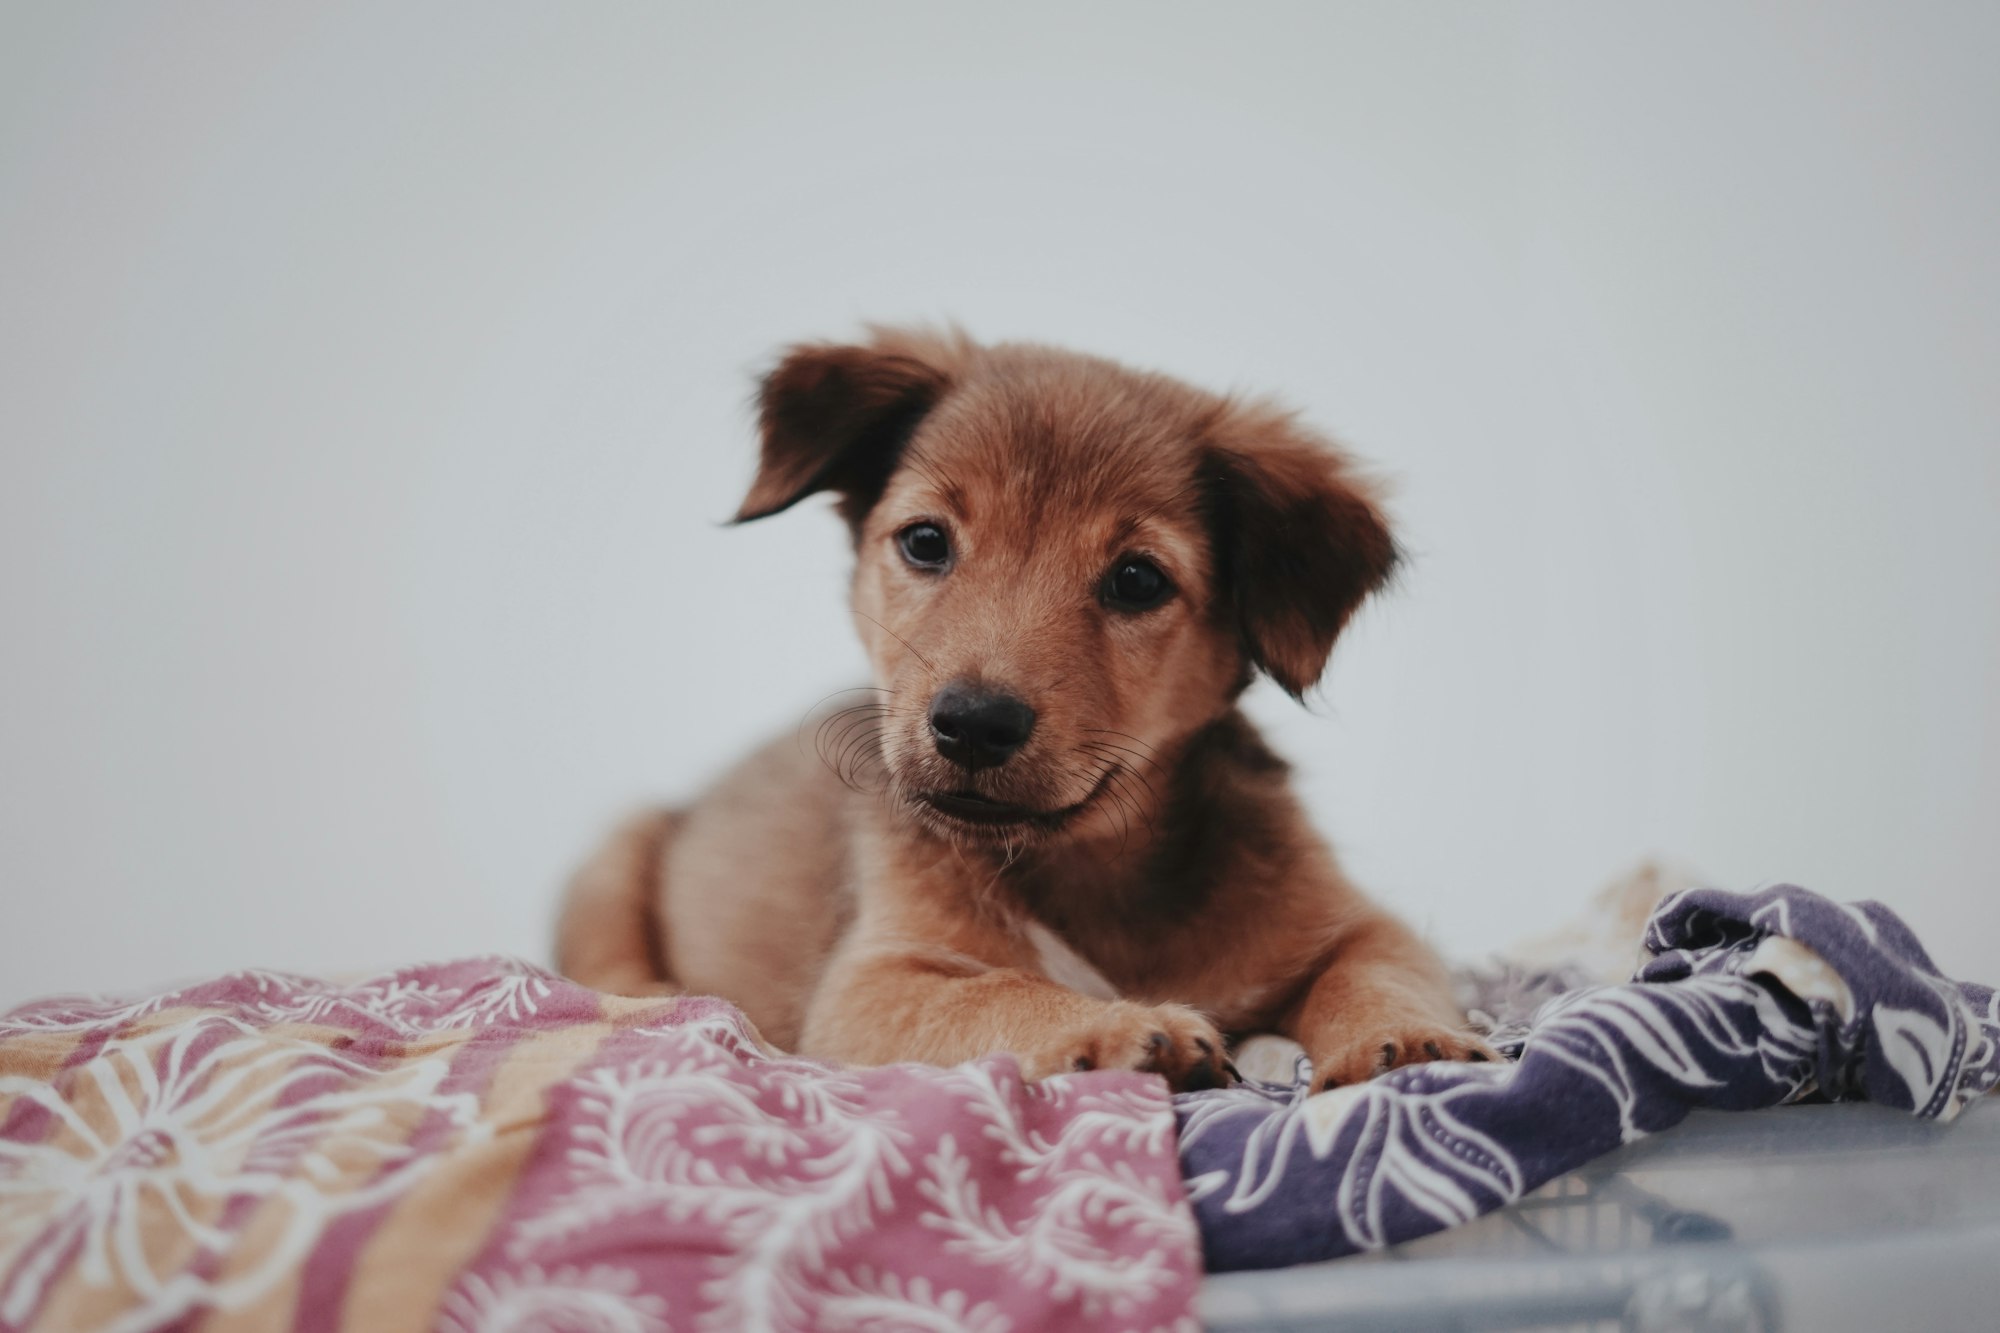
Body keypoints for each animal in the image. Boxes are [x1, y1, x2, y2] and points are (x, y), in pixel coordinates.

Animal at [556, 324, 1496, 1088]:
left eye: (1138, 580)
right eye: (925, 541)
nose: (973, 724)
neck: (1082, 867)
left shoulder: (1361, 926)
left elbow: (1373, 973)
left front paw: (1411, 1040)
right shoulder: (874, 983)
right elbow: (1003, 990)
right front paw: (1122, 1027)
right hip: (618, 847)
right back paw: (656, 998)